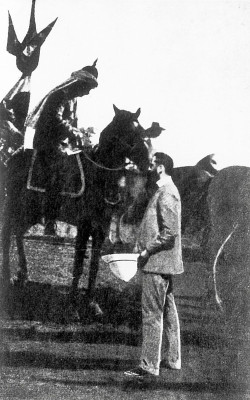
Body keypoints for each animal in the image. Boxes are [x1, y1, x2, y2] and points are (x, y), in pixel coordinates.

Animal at [0, 104, 149, 318]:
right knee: (7, 235)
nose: (148, 161)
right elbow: (78, 263)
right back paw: (7, 276)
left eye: (142, 131)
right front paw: (72, 305)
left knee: (18, 233)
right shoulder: (84, 226)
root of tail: (12, 158)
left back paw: (23, 275)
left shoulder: (101, 228)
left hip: (32, 211)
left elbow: (94, 265)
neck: (99, 176)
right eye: (130, 131)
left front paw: (92, 302)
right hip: (14, 205)